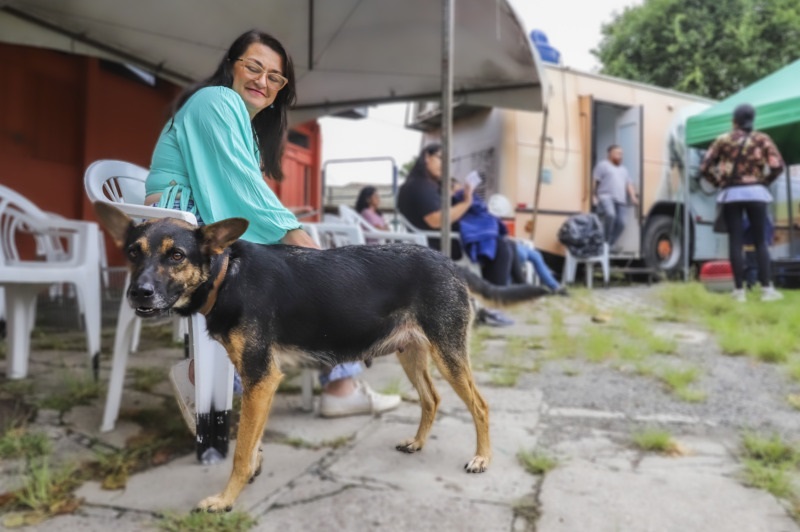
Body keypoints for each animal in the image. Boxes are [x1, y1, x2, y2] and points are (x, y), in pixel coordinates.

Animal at [90, 203, 548, 512]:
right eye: (133, 253)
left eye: (176, 256)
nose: (138, 293)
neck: (226, 274)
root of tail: (448, 260)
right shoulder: (258, 381)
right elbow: (251, 442)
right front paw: (250, 473)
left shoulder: (260, 377)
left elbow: (239, 452)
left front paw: (225, 499)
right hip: (411, 353)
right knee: (431, 399)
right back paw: (417, 442)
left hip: (447, 353)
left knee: (479, 404)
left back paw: (482, 458)